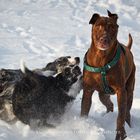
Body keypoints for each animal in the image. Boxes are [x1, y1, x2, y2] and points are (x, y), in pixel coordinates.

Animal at [81, 10, 136, 140]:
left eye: (112, 27)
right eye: (98, 26)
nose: (104, 39)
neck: (101, 58)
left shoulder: (121, 91)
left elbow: (120, 116)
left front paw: (121, 134)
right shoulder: (88, 89)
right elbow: (84, 110)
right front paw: (82, 125)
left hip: (129, 89)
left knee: (127, 112)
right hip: (103, 94)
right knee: (109, 104)